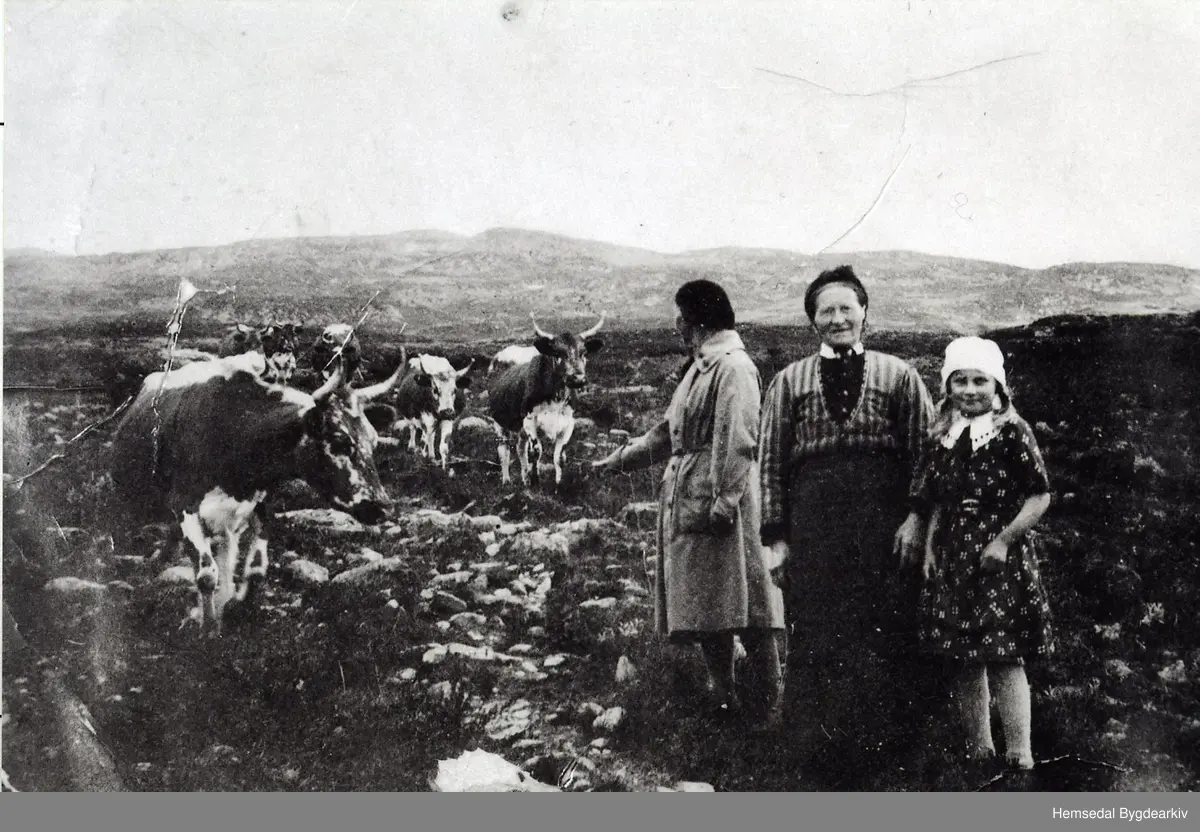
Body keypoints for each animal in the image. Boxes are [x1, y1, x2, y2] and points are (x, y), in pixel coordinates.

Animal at [110, 348, 405, 633]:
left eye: (374, 440)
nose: (382, 507)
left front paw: (235, 611)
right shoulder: (184, 504)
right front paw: (208, 631)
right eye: (340, 440)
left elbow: (255, 570)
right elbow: (206, 574)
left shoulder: (260, 505)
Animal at [484, 309, 604, 487]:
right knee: (504, 450)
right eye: (558, 353)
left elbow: (559, 457)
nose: (578, 379)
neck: (557, 399)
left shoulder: (568, 423)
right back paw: (506, 481)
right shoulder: (530, 420)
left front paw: (558, 484)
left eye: (584, 353)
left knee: (520, 448)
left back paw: (525, 479)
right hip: (499, 422)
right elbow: (535, 452)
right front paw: (535, 481)